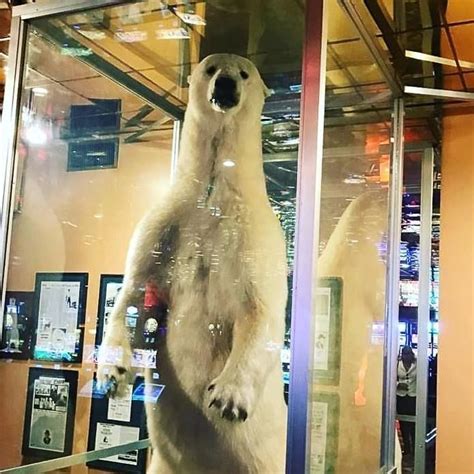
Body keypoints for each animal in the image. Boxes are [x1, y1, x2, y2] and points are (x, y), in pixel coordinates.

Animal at [98, 53, 286, 472]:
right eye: (212, 68)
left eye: (245, 73)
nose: (227, 85)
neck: (213, 193)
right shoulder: (167, 223)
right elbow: (134, 294)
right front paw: (113, 372)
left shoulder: (255, 235)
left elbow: (261, 310)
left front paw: (227, 398)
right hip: (165, 463)